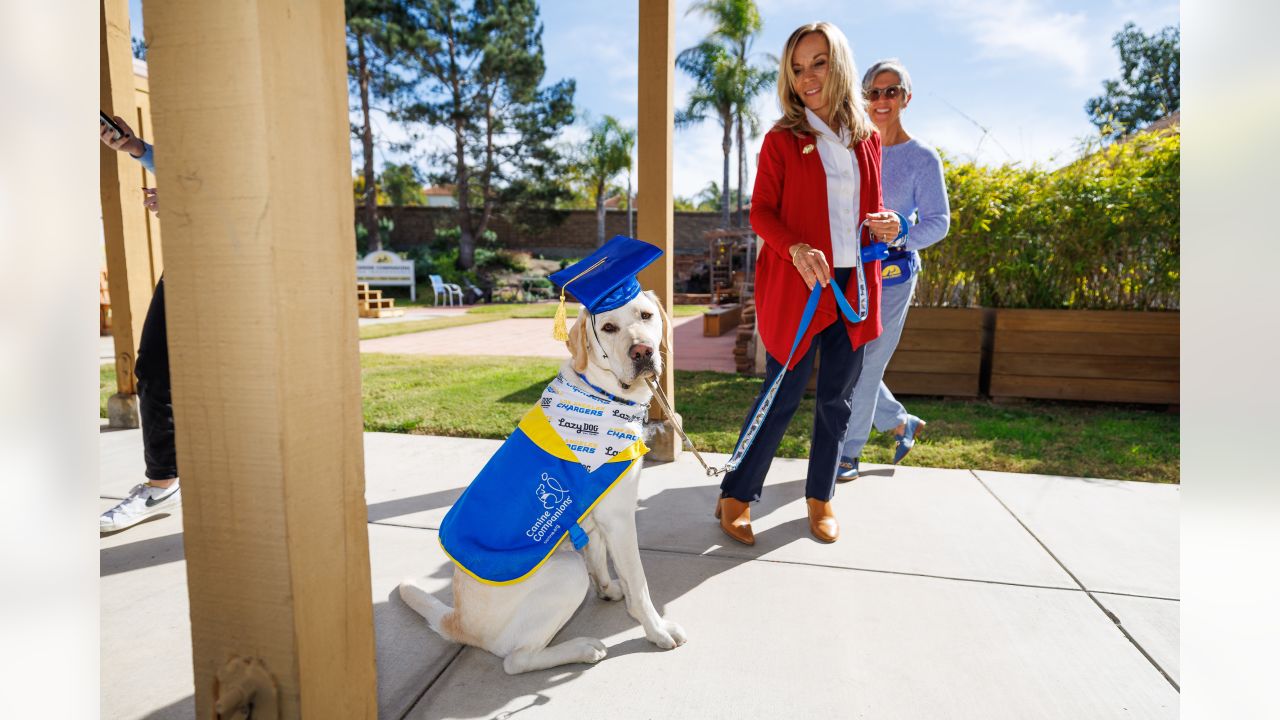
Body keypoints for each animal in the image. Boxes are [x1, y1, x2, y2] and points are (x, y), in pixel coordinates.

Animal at [399, 286, 686, 671]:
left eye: (646, 316)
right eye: (608, 327)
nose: (642, 351)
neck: (601, 392)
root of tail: (457, 622)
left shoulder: (594, 518)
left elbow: (600, 561)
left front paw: (609, 590)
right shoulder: (619, 518)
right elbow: (639, 585)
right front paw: (656, 631)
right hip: (567, 571)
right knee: (516, 660)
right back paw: (582, 649)